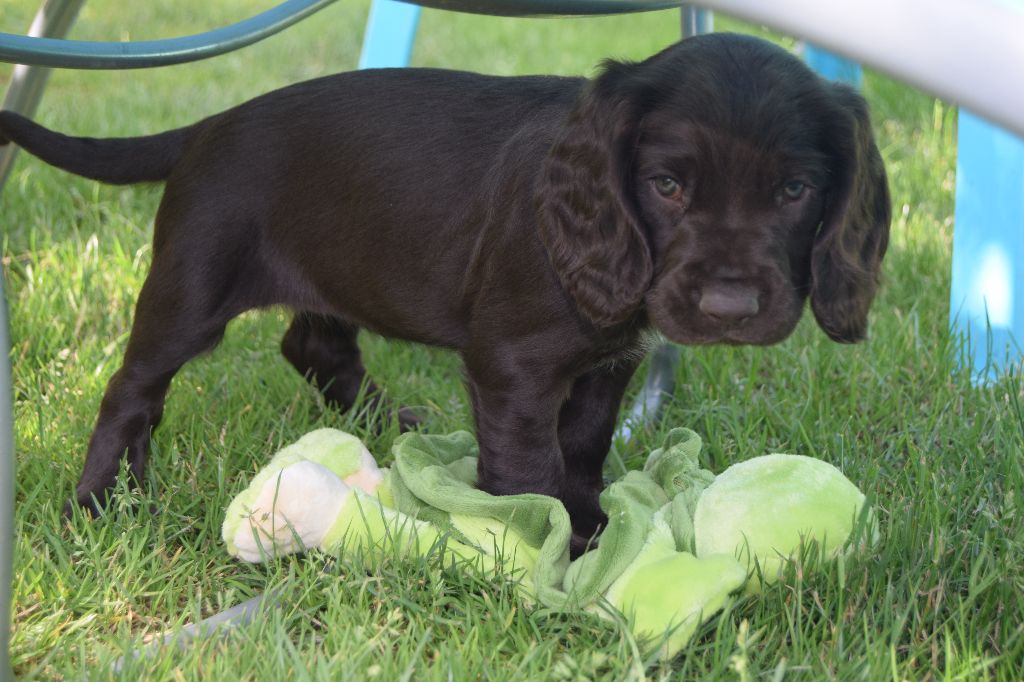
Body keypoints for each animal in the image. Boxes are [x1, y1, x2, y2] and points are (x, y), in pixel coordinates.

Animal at [0, 33, 890, 552]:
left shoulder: (609, 359)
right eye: (667, 186)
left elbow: (584, 441)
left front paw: (590, 513)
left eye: (796, 190)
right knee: (133, 387)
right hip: (193, 281)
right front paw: (558, 545)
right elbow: (531, 462)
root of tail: (211, 125)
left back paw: (387, 425)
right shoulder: (514, 363)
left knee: (312, 343)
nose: (731, 312)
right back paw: (99, 501)